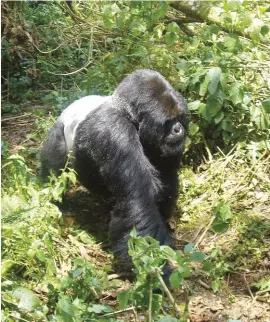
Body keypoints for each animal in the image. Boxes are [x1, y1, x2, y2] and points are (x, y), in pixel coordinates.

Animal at [40, 70, 188, 280]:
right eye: (168, 122)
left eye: (180, 117)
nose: (179, 129)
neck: (126, 112)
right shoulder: (116, 131)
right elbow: (138, 199)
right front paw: (158, 270)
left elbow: (166, 180)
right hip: (58, 133)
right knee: (53, 172)